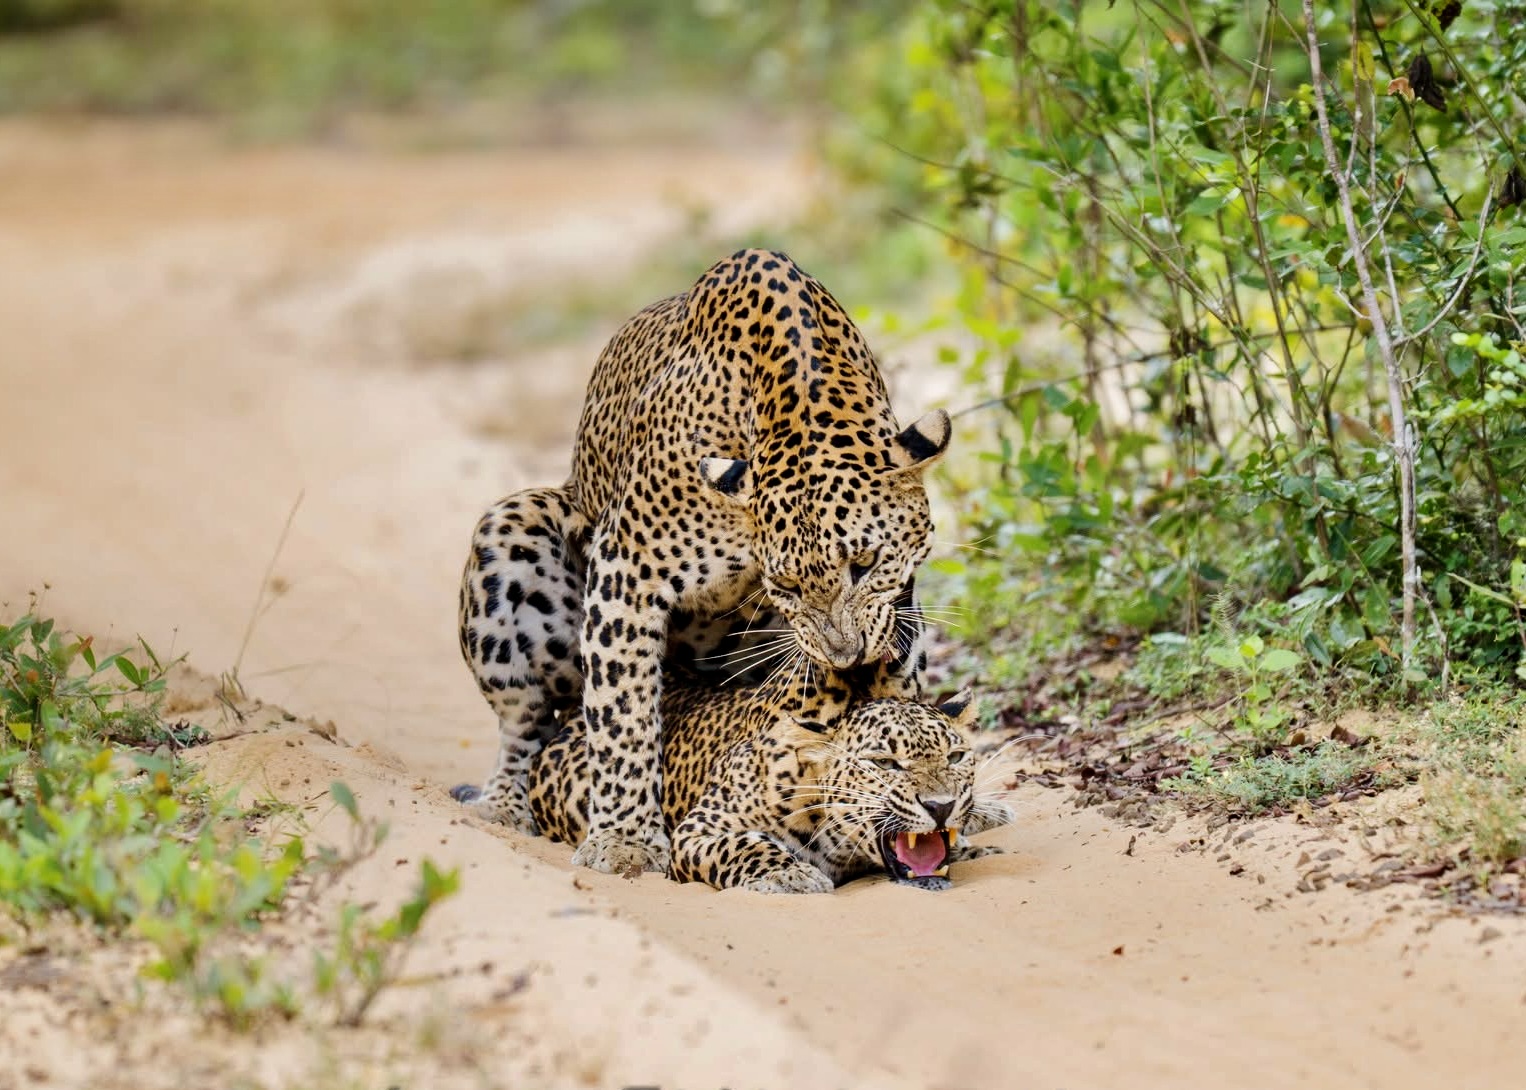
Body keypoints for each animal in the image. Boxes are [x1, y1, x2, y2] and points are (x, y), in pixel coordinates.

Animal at [454, 248, 951, 875]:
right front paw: (625, 841)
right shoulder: (627, 568)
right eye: (786, 586)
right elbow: (622, 715)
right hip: (512, 533)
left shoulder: (898, 605)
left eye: (865, 562)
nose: (845, 656)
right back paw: (503, 804)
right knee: (526, 722)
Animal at [527, 663, 1017, 893]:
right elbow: (744, 845)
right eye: (884, 763)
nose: (941, 806)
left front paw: (975, 843)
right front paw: (791, 876)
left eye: (956, 756)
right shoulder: (701, 828)